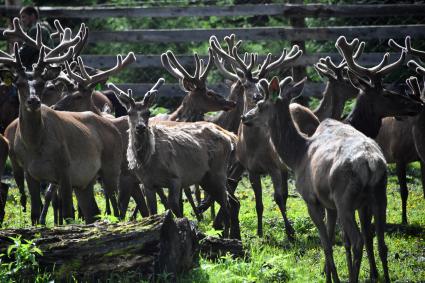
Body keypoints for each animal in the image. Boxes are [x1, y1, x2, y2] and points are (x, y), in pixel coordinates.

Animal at [107, 80, 242, 240]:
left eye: (148, 113)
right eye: (129, 113)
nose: (140, 127)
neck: (149, 162)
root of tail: (229, 137)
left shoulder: (176, 178)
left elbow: (175, 207)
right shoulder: (147, 183)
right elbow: (152, 210)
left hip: (218, 171)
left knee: (227, 204)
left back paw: (227, 237)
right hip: (206, 178)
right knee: (230, 202)